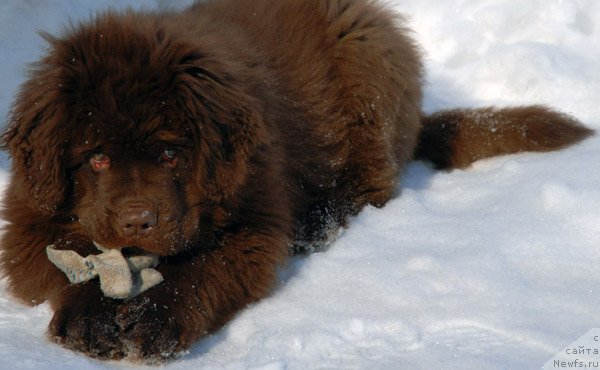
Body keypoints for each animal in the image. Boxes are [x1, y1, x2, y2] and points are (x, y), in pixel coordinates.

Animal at [0, 0, 592, 362]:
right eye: (96, 159)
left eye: (170, 153)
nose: (137, 222)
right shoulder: (28, 218)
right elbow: (60, 263)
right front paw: (92, 318)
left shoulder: (254, 221)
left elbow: (204, 271)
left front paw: (154, 323)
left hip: (365, 61)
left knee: (371, 185)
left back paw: (319, 223)